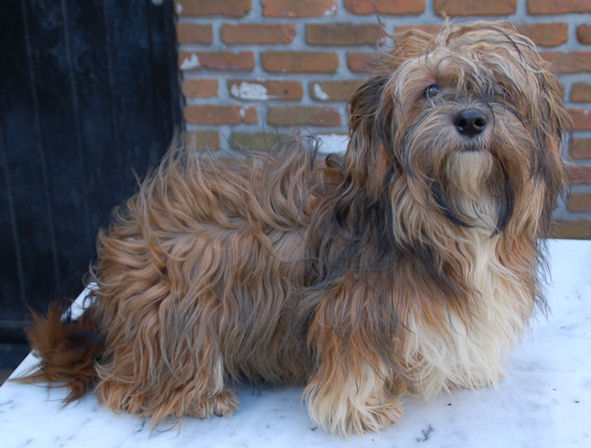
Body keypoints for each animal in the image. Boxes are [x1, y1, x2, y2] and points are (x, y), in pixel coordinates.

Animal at [20, 22, 572, 436]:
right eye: (431, 89)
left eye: (500, 91)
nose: (473, 119)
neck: (444, 213)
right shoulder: (350, 309)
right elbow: (353, 365)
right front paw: (361, 409)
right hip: (178, 308)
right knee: (124, 386)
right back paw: (199, 397)